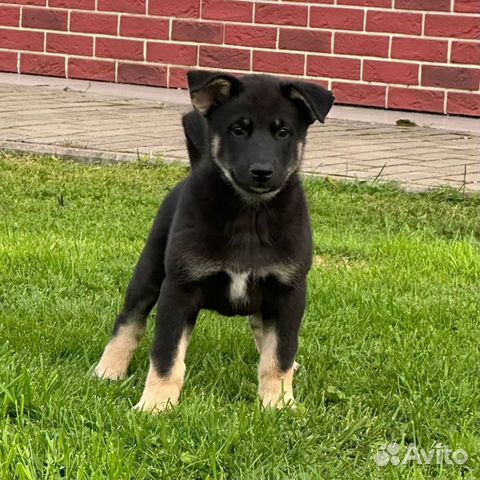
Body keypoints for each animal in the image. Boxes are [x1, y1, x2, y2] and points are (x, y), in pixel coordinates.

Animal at [94, 71, 334, 412]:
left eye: (283, 132)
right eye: (238, 129)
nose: (262, 172)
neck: (249, 214)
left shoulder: (289, 290)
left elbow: (279, 354)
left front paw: (278, 404)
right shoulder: (179, 288)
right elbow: (166, 355)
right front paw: (155, 405)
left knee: (263, 330)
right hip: (149, 270)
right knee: (130, 319)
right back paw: (109, 368)